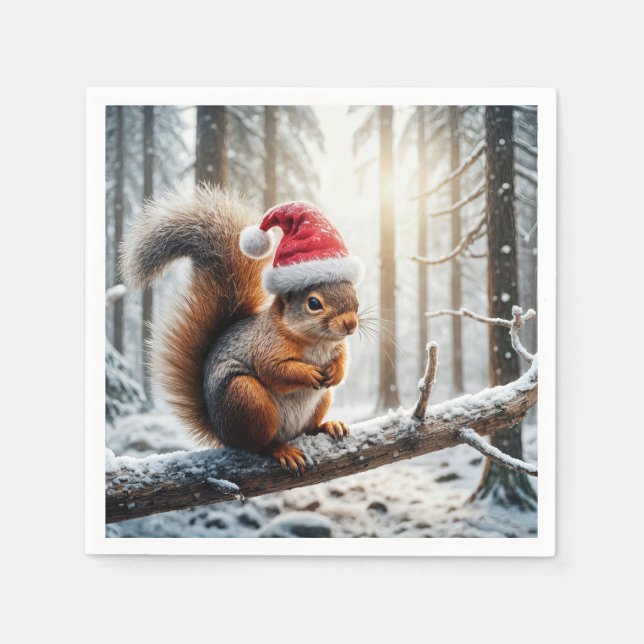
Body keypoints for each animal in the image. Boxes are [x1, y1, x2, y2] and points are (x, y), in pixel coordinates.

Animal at [121, 185, 365, 474]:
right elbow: (274, 369)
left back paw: (328, 425)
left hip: (319, 400)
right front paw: (307, 373)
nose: (351, 324)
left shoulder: (338, 346)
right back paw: (280, 449)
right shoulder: (265, 344)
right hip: (247, 398)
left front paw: (335, 372)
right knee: (258, 444)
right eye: (314, 303)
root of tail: (222, 432)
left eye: (354, 295)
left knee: (309, 428)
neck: (316, 341)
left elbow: (343, 360)